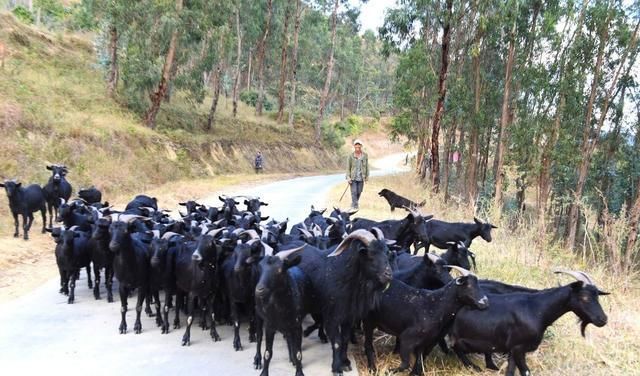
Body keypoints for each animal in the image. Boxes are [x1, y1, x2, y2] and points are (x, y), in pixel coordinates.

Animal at [452, 268, 608, 374]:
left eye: (597, 296)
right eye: (584, 297)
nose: (603, 319)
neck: (536, 309)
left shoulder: (513, 349)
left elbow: (510, 371)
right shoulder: (519, 348)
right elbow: (525, 371)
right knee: (457, 348)